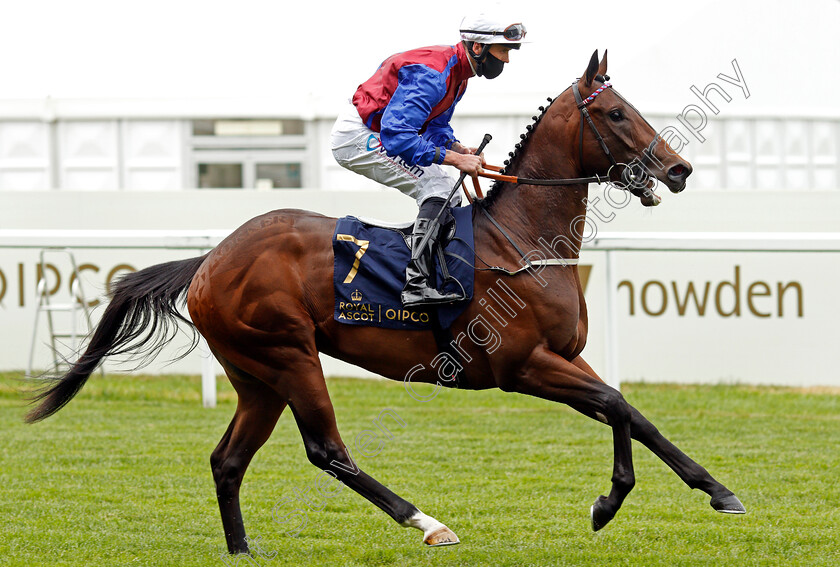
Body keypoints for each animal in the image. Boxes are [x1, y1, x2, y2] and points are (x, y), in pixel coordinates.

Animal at [27, 51, 740, 556]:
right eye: (617, 113)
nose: (678, 170)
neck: (521, 239)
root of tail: (208, 261)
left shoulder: (565, 358)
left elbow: (635, 414)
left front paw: (719, 490)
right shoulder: (522, 367)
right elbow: (617, 406)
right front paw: (607, 503)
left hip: (255, 375)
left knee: (227, 460)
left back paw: (243, 549)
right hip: (288, 354)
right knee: (326, 449)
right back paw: (426, 522)